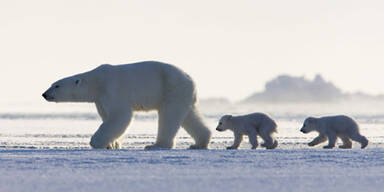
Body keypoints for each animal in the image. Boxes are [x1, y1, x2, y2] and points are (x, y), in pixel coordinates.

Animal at [42, 61, 212, 150]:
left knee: (169, 116)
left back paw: (155, 145)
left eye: (56, 85)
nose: (44, 94)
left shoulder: (112, 89)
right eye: (52, 84)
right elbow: (107, 117)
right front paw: (112, 144)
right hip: (181, 94)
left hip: (171, 89)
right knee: (188, 116)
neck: (97, 82)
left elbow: (120, 116)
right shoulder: (100, 100)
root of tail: (191, 80)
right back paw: (199, 143)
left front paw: (96, 142)